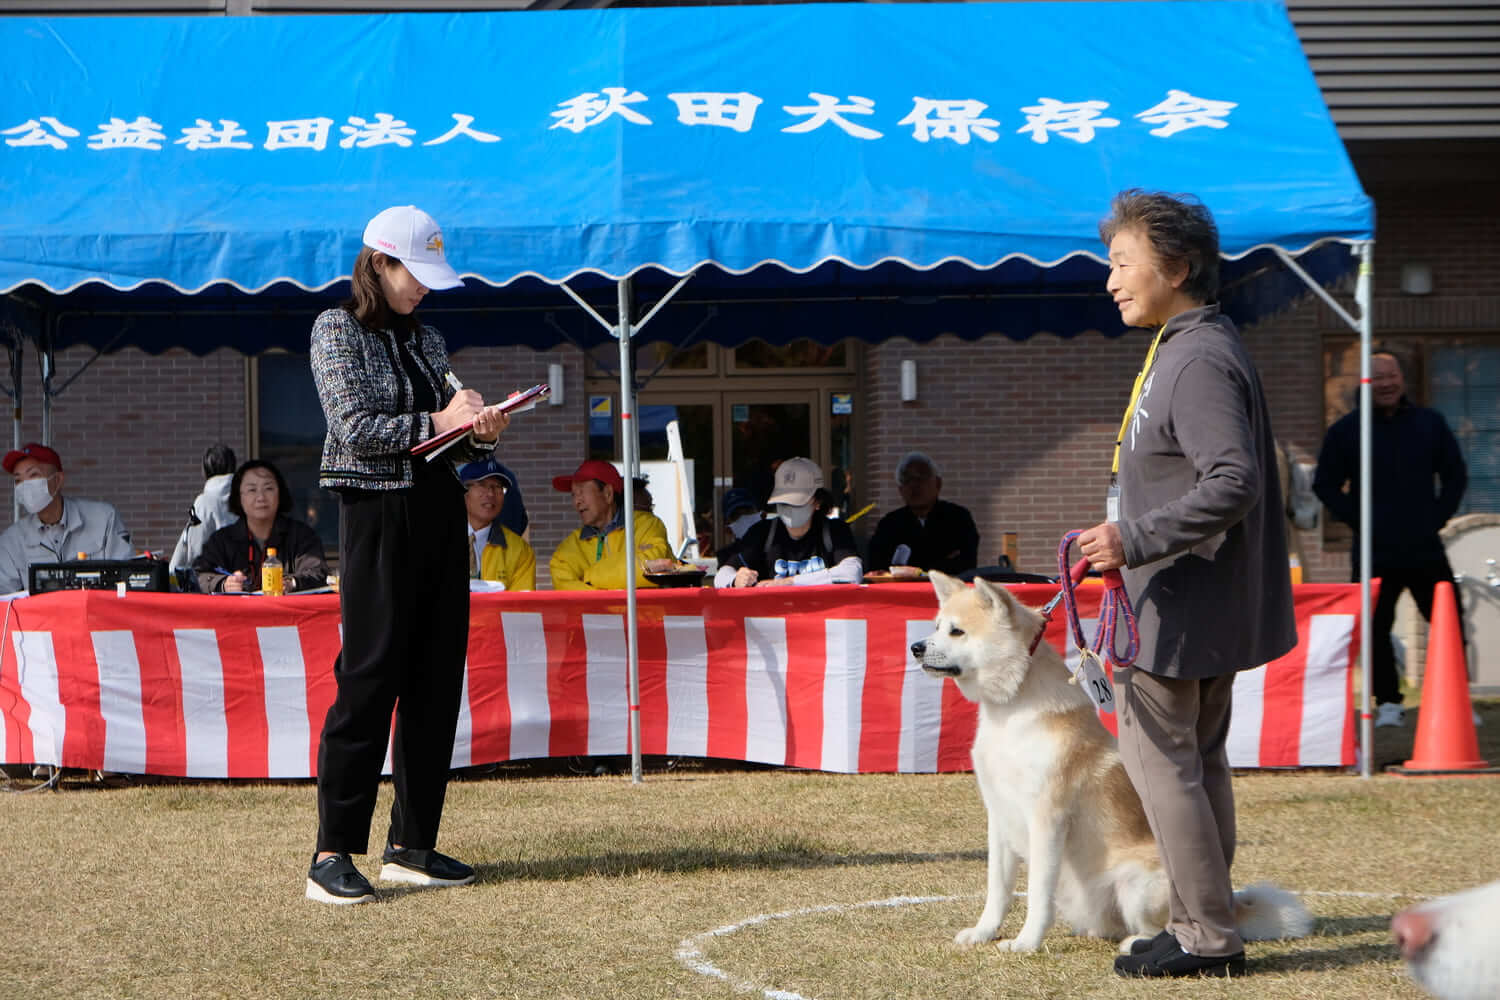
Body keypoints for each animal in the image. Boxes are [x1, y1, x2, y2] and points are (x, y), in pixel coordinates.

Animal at [906, 569, 1308, 953]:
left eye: (957, 631)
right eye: (937, 625)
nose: (915, 647)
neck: (1011, 710)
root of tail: (1231, 908)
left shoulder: (1047, 819)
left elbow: (1037, 893)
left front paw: (1026, 942)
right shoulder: (1000, 816)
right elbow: (998, 889)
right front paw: (983, 932)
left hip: (1137, 885)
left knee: (1154, 925)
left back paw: (1142, 945)